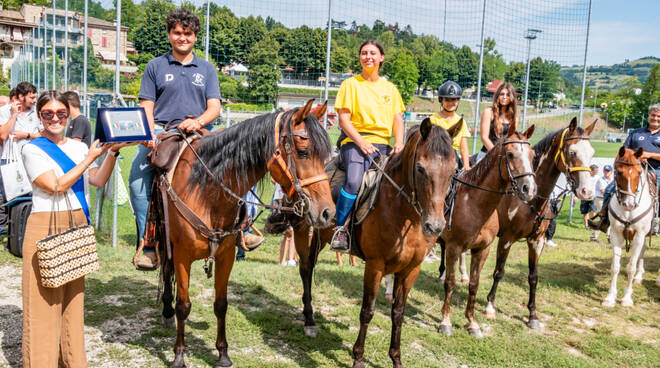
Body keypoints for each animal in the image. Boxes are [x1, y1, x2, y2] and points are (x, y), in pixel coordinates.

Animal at [160, 98, 336, 368]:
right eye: (303, 152)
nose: (327, 212)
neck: (205, 192)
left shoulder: (226, 256)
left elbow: (221, 304)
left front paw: (223, 354)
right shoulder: (181, 256)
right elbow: (184, 305)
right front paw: (179, 355)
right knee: (166, 269)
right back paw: (167, 312)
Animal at [270, 119, 462, 366]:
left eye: (453, 170)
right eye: (420, 168)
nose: (435, 226)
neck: (403, 213)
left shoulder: (411, 269)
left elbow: (398, 312)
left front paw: (396, 359)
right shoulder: (375, 265)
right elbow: (367, 311)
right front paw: (358, 357)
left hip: (320, 237)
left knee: (310, 265)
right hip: (303, 229)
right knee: (305, 269)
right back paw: (310, 320)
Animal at [438, 122, 536, 338]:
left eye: (533, 155)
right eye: (510, 154)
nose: (529, 189)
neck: (474, 203)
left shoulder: (482, 249)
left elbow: (474, 285)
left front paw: (472, 323)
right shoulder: (453, 248)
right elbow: (450, 282)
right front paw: (445, 322)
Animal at [482, 117, 596, 328]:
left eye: (591, 152)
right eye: (572, 152)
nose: (587, 192)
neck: (530, 201)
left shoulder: (537, 241)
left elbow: (533, 277)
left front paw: (532, 315)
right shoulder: (506, 239)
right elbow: (499, 271)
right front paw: (490, 306)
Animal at [604, 147, 656, 308]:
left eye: (639, 173)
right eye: (619, 172)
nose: (629, 204)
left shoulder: (639, 235)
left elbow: (630, 268)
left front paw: (627, 298)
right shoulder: (616, 234)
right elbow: (615, 267)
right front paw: (610, 297)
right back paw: (639, 276)